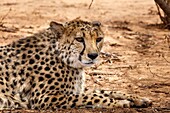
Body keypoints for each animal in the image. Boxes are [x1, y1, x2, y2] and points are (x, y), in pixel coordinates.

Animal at [0, 19, 151, 110]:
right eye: (79, 39)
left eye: (99, 39)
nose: (93, 55)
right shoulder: (45, 97)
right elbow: (91, 97)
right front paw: (120, 103)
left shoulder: (74, 90)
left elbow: (105, 91)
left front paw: (138, 98)